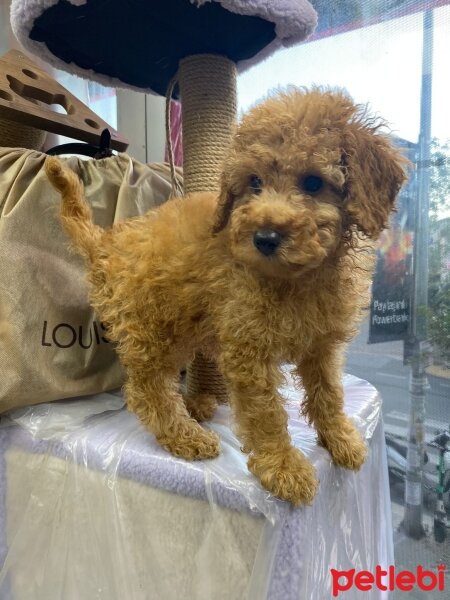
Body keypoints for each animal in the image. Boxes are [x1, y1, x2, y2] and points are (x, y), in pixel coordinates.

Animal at [46, 86, 408, 504]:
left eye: (314, 183)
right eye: (254, 182)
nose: (265, 238)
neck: (297, 278)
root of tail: (105, 241)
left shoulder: (321, 347)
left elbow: (329, 393)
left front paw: (341, 438)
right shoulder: (249, 350)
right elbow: (266, 412)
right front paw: (283, 466)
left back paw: (196, 404)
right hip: (149, 329)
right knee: (147, 390)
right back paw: (185, 435)